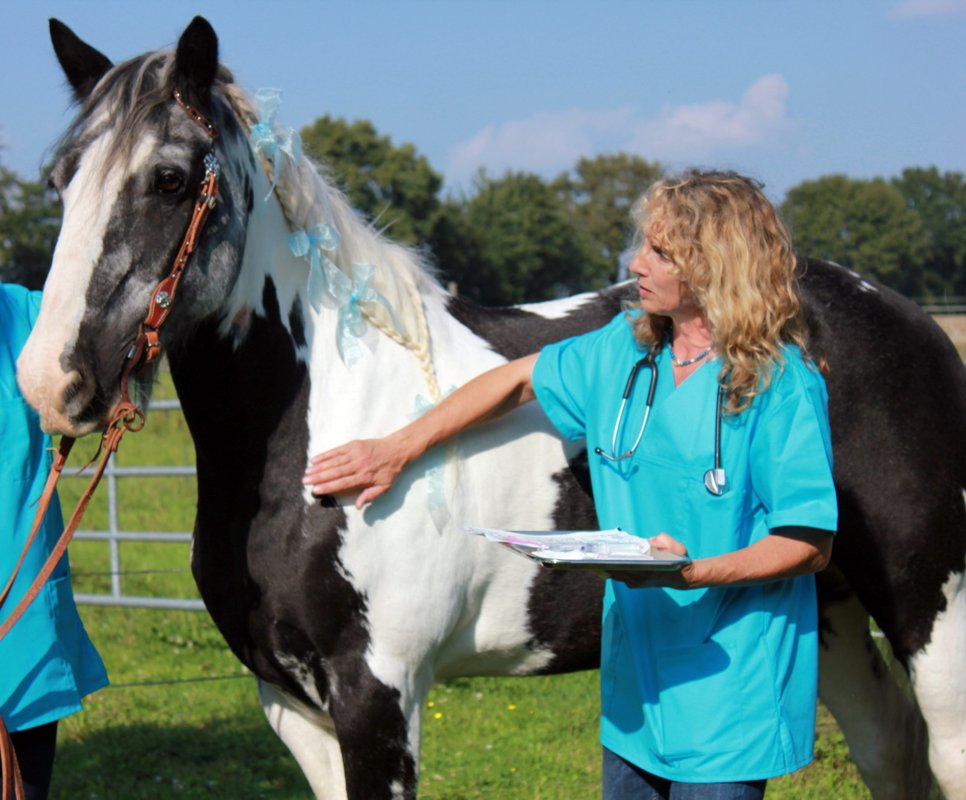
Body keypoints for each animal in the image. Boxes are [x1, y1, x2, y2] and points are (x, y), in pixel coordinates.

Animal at [13, 14, 966, 800]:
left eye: (171, 180)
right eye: (61, 179)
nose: (52, 382)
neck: (320, 438)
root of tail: (907, 318)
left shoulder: (379, 697)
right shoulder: (291, 706)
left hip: (931, 616)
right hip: (828, 602)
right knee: (891, 751)